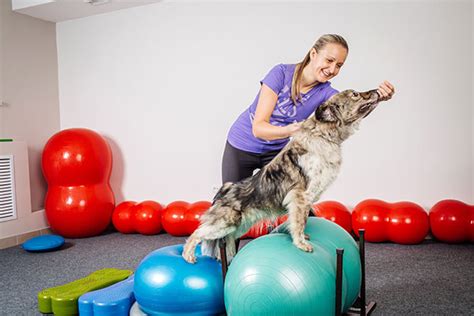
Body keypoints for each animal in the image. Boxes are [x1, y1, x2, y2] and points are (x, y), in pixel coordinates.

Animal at [181, 87, 382, 262]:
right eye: (355, 94)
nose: (377, 91)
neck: (323, 136)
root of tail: (224, 190)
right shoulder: (301, 196)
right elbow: (299, 222)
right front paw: (301, 243)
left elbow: (300, 221)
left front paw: (302, 238)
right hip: (225, 223)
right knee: (196, 234)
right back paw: (188, 256)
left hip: (238, 226)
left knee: (226, 240)